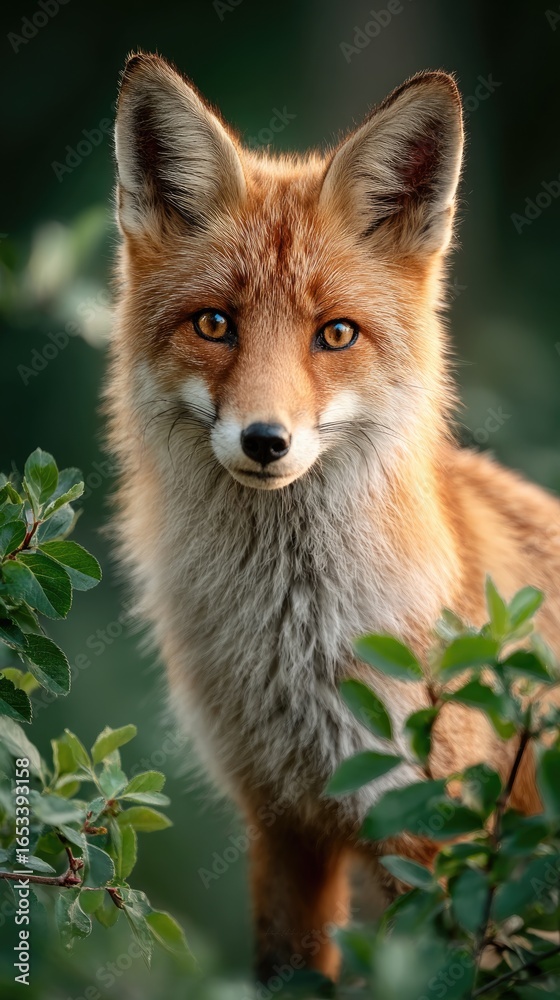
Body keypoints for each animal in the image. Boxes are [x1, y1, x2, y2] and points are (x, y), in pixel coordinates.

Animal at [108, 52, 560, 982]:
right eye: (215, 323)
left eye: (336, 334)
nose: (265, 440)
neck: (292, 647)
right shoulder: (284, 824)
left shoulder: (437, 844)